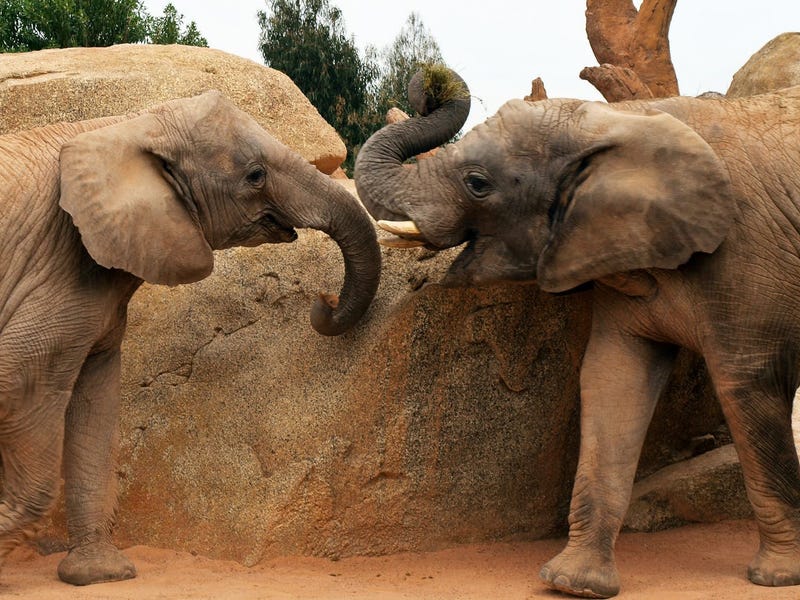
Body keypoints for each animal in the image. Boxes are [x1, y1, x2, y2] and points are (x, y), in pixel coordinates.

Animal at [0, 90, 382, 584]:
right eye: (255, 175)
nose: (325, 300)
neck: (124, 125)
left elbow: (96, 401)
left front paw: (100, 575)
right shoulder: (56, 265)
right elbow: (22, 385)